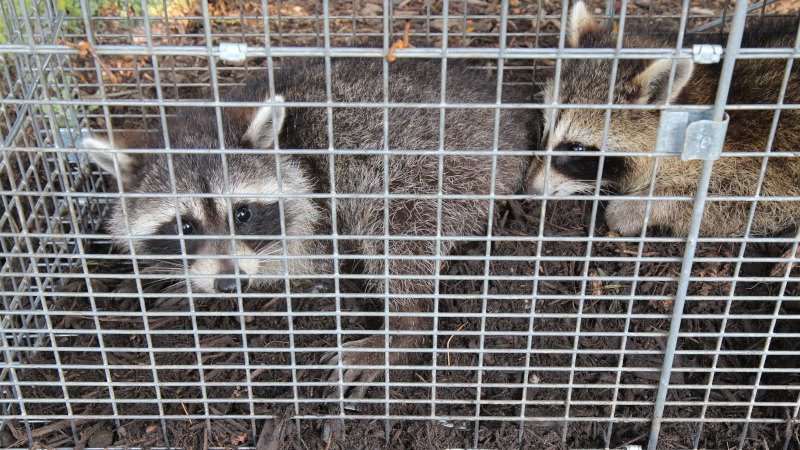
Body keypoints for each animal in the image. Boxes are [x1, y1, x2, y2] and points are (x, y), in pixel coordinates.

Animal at [85, 58, 533, 396]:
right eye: (185, 228)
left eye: (242, 214)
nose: (230, 285)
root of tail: (512, 127)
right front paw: (176, 276)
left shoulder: (319, 204)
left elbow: (300, 262)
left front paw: (191, 284)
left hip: (434, 170)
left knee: (394, 229)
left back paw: (402, 330)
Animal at [527, 1, 800, 237]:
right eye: (545, 128)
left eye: (577, 147)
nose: (529, 190)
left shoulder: (764, 160)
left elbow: (742, 199)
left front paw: (636, 208)